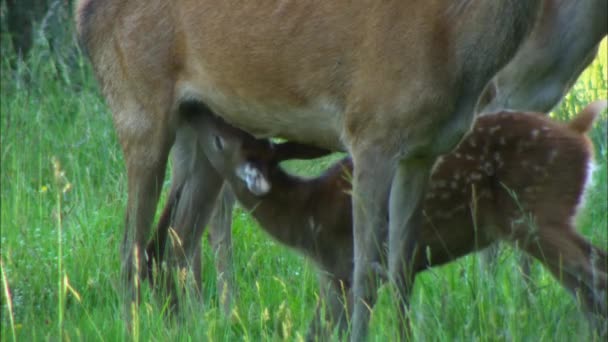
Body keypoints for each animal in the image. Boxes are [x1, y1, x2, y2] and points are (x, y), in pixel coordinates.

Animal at [77, 0, 540, 336]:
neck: (450, 40)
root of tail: (82, 17)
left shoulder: (422, 153)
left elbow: (402, 270)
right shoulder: (372, 132)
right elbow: (366, 272)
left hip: (201, 130)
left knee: (173, 242)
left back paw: (185, 328)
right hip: (137, 109)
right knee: (131, 250)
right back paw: (135, 328)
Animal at [151, 100, 608, 338]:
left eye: (218, 140)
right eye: (231, 133)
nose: (196, 110)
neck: (303, 215)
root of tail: (577, 132)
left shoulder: (344, 264)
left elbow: (328, 327)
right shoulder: (332, 273)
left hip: (538, 214)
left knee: (593, 272)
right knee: (586, 281)